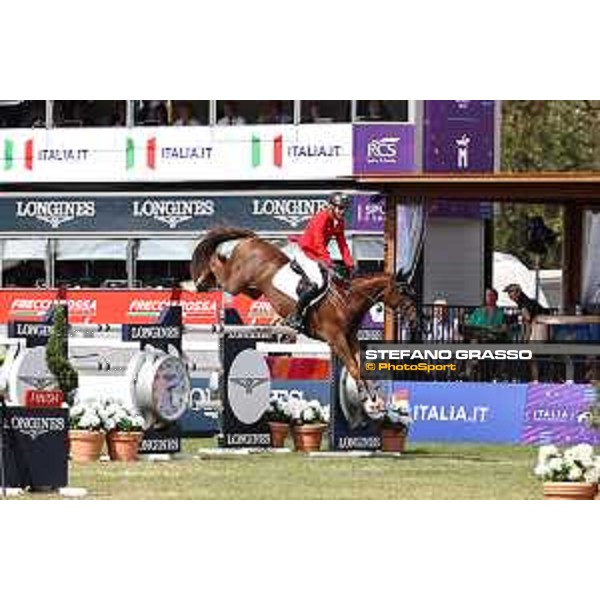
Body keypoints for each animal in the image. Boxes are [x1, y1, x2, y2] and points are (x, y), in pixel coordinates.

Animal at [192, 227, 418, 424]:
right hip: (236, 283)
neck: (346, 300)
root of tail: (252, 240)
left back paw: (205, 280)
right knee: (219, 268)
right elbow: (354, 368)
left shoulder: (350, 338)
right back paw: (201, 278)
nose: (415, 319)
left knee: (227, 274)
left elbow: (360, 366)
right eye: (403, 291)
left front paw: (375, 400)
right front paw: (368, 400)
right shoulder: (336, 340)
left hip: (252, 289)